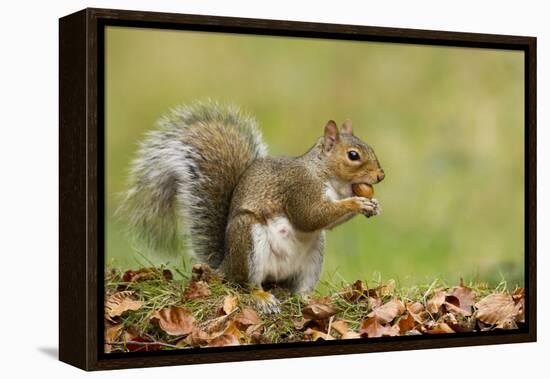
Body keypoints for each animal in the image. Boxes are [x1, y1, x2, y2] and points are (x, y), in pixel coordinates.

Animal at [121, 101, 388, 312]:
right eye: (353, 155)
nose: (381, 175)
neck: (326, 176)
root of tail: (226, 265)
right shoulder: (299, 189)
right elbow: (310, 217)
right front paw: (357, 203)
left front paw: (373, 205)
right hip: (248, 240)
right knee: (246, 284)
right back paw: (262, 297)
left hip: (313, 258)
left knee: (298, 289)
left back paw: (307, 299)